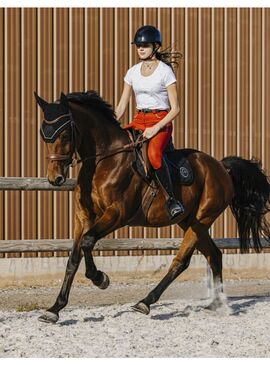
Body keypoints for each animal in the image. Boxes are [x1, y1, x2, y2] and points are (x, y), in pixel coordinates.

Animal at [34, 90, 268, 322]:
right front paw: (54, 309)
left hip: (202, 219)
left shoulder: (117, 214)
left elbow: (88, 241)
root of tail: (221, 167)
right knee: (214, 255)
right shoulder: (82, 217)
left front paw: (100, 279)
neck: (103, 161)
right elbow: (73, 259)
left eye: (65, 135)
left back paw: (145, 302)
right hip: (188, 221)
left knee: (181, 261)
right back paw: (218, 305)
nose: (55, 178)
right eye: (43, 135)